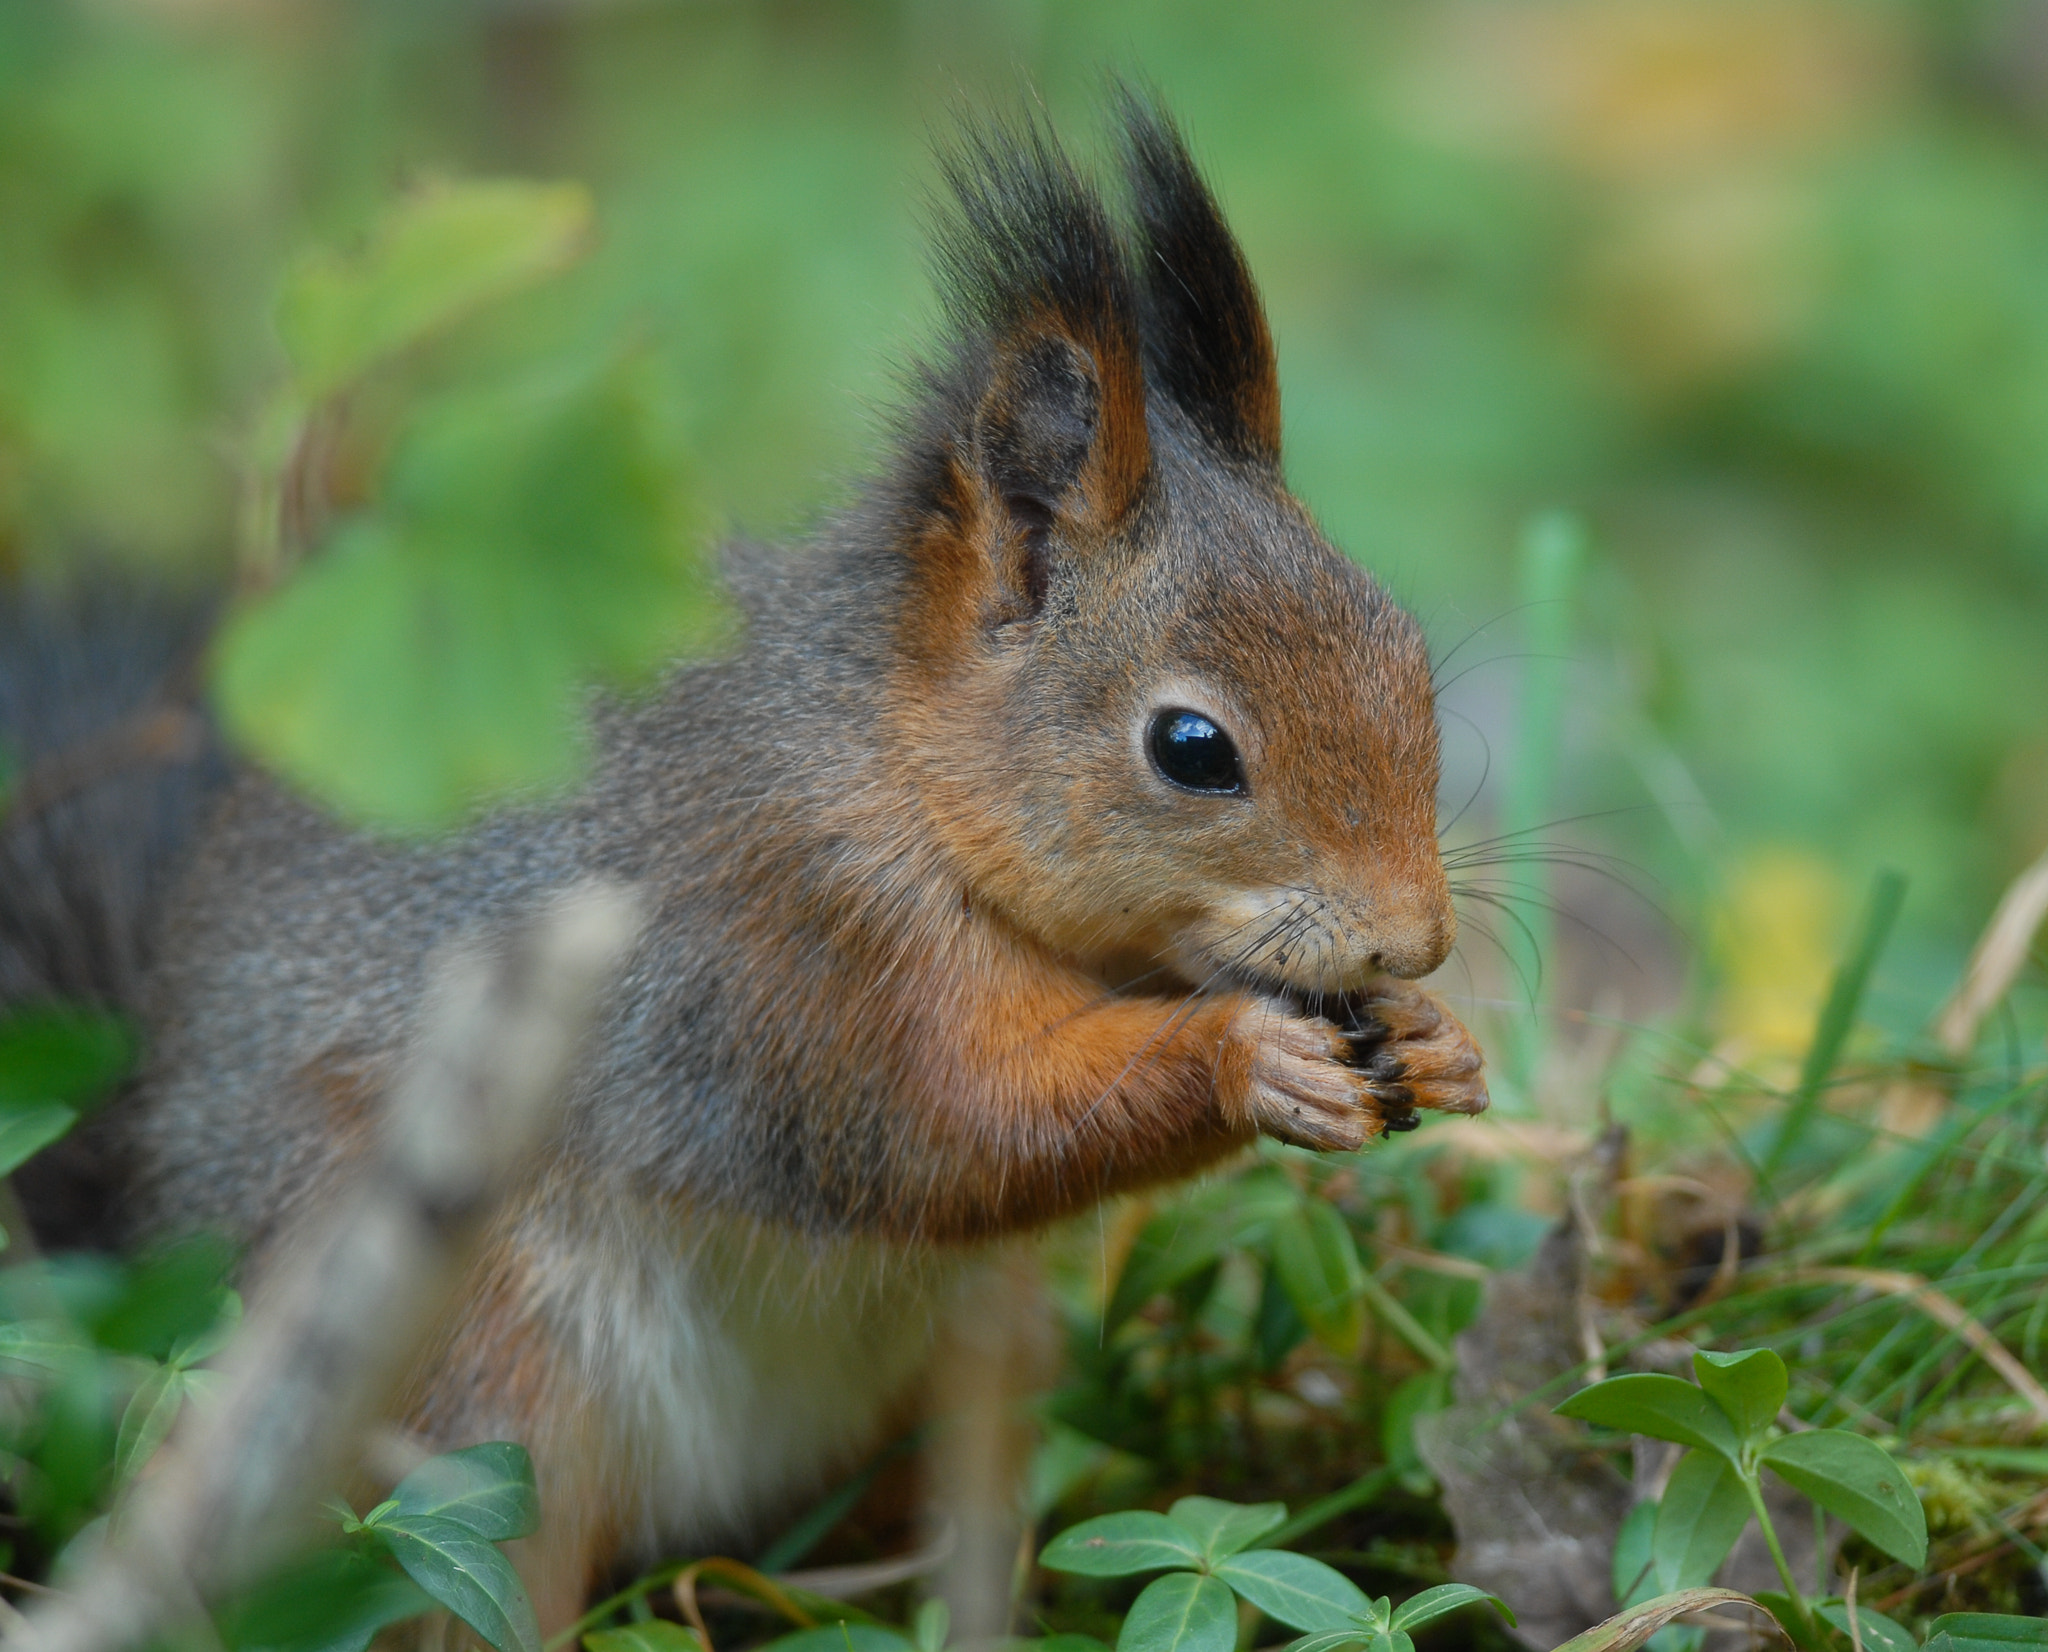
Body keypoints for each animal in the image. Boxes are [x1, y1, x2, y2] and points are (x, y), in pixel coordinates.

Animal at [0, 98, 1487, 1625]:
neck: (894, 771)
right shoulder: (791, 941)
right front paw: (1253, 1056)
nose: (1411, 938)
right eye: (1191, 747)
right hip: (479, 1379)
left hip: (964, 1365)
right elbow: (950, 1129)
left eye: (1405, 652)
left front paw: (1437, 1041)